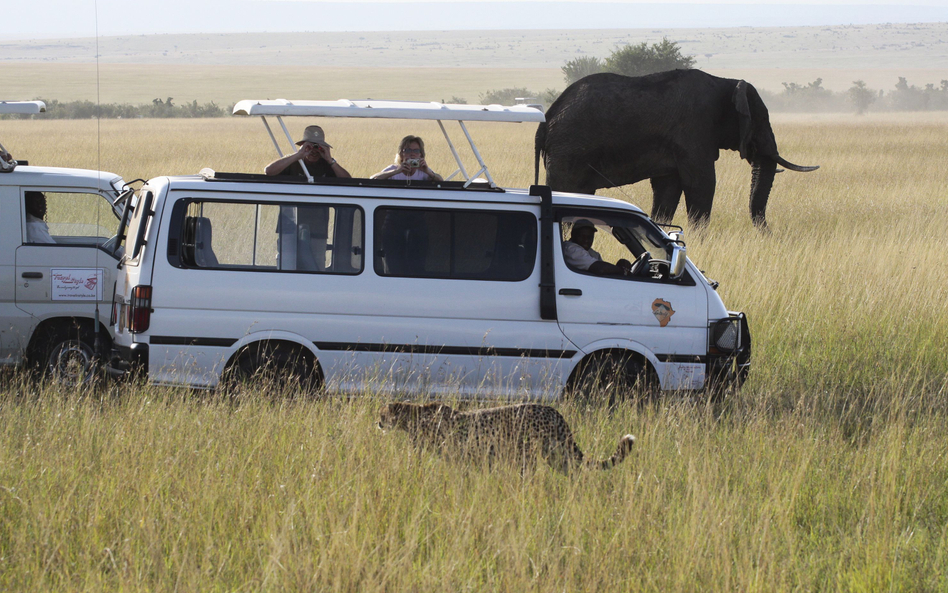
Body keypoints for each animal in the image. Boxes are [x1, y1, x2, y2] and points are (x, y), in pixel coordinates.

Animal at [536, 69, 820, 227]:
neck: (724, 83)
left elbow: (668, 189)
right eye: (761, 119)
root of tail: (546, 120)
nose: (768, 233)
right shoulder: (693, 130)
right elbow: (702, 183)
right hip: (569, 151)